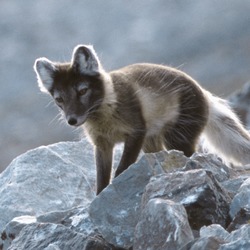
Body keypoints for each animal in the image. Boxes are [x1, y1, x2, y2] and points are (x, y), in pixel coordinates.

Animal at [34, 44, 250, 193]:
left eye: (82, 91)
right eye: (59, 99)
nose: (72, 120)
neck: (106, 114)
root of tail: (204, 93)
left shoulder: (136, 132)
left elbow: (121, 170)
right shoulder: (102, 145)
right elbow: (102, 178)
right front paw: (99, 196)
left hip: (177, 139)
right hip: (152, 144)